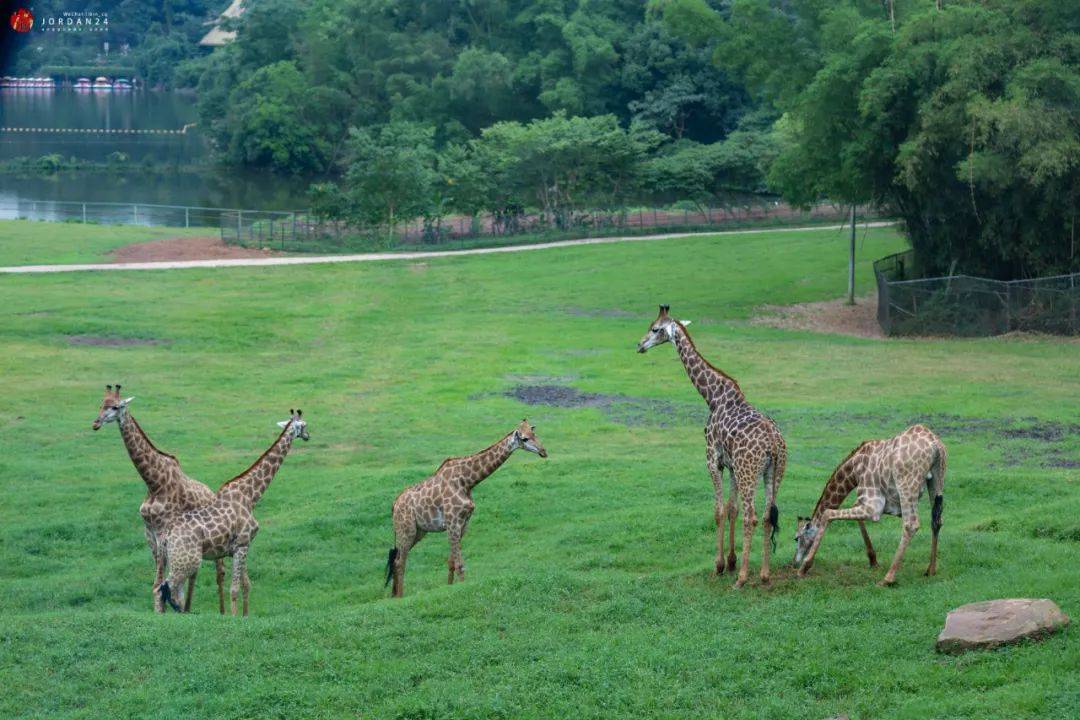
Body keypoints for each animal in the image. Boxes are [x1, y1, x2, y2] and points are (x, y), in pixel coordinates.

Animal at [92, 382, 225, 613]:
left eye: (116, 407)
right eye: (101, 404)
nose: (96, 423)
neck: (153, 483)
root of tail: (210, 493)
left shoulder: (164, 532)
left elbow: (159, 585)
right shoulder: (150, 534)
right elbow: (160, 585)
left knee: (219, 572)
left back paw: (226, 612)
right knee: (191, 576)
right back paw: (187, 608)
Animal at [159, 410, 313, 613]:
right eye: (303, 425)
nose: (308, 436)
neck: (250, 496)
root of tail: (166, 536)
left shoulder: (242, 547)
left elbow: (246, 585)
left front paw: (245, 616)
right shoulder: (241, 544)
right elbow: (234, 589)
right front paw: (233, 617)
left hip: (176, 560)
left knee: (171, 592)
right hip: (187, 561)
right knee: (165, 589)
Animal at [386, 418, 548, 600]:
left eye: (534, 433)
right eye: (525, 439)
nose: (544, 451)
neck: (467, 481)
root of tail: (394, 505)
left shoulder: (463, 523)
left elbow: (451, 563)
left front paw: (449, 587)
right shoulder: (453, 523)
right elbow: (460, 564)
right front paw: (460, 589)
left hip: (419, 531)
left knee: (397, 560)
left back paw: (395, 595)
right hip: (406, 530)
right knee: (400, 562)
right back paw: (400, 597)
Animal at [635, 302, 790, 587]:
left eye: (655, 328)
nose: (639, 345)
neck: (712, 396)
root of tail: (774, 444)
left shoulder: (712, 460)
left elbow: (718, 510)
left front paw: (719, 566)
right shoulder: (731, 466)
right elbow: (731, 509)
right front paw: (730, 561)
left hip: (750, 471)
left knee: (752, 517)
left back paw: (742, 578)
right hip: (774, 472)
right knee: (766, 516)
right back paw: (764, 574)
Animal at [794, 425, 946, 587]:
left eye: (796, 538)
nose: (794, 562)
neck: (854, 470)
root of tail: (935, 444)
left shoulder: (873, 506)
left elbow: (827, 513)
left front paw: (804, 568)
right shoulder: (879, 504)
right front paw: (873, 561)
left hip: (907, 484)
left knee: (911, 524)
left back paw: (887, 579)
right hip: (937, 480)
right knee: (936, 521)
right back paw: (930, 570)